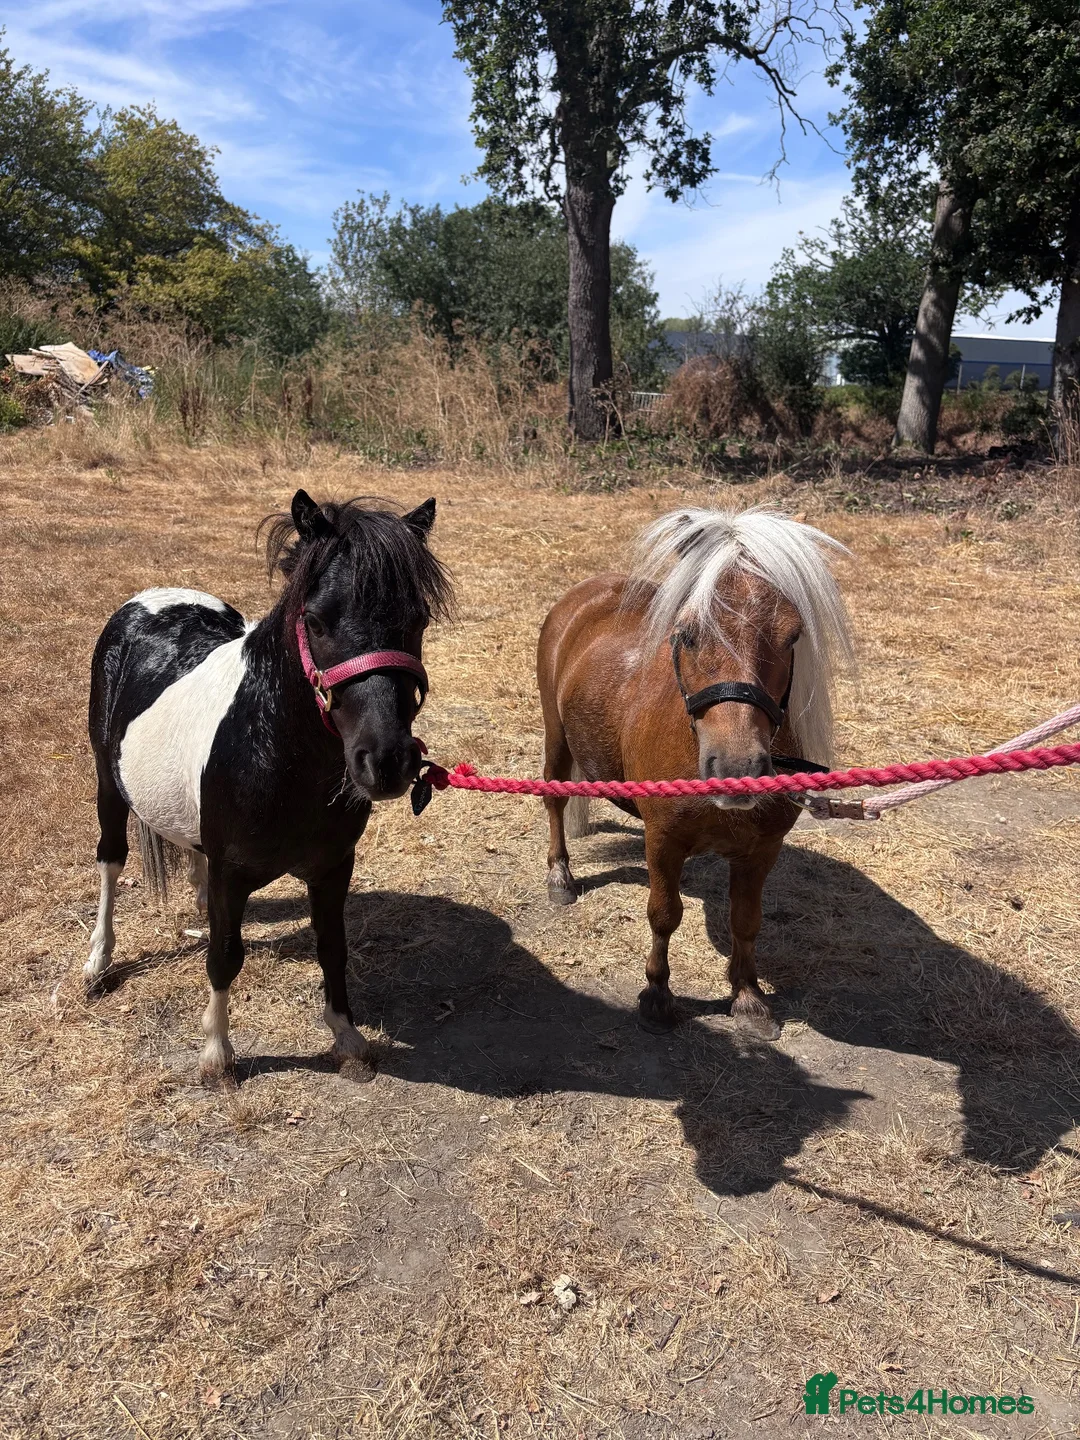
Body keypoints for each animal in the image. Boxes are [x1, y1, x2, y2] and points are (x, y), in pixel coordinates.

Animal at [85, 489, 452, 1080]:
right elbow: (223, 956)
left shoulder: (332, 866)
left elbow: (332, 948)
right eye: (316, 621)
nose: (386, 762)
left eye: (417, 620)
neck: (274, 751)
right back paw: (97, 963)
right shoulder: (232, 875)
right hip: (108, 786)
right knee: (111, 863)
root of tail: (146, 600)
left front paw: (348, 1039)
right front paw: (216, 1054)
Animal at [537, 506, 853, 1037]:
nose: (738, 767)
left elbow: (746, 920)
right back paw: (560, 877)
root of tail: (586, 593)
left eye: (792, 636)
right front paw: (657, 997)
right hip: (556, 736)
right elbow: (664, 915)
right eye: (686, 633)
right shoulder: (662, 841)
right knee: (555, 799)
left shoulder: (761, 851)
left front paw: (748, 997)